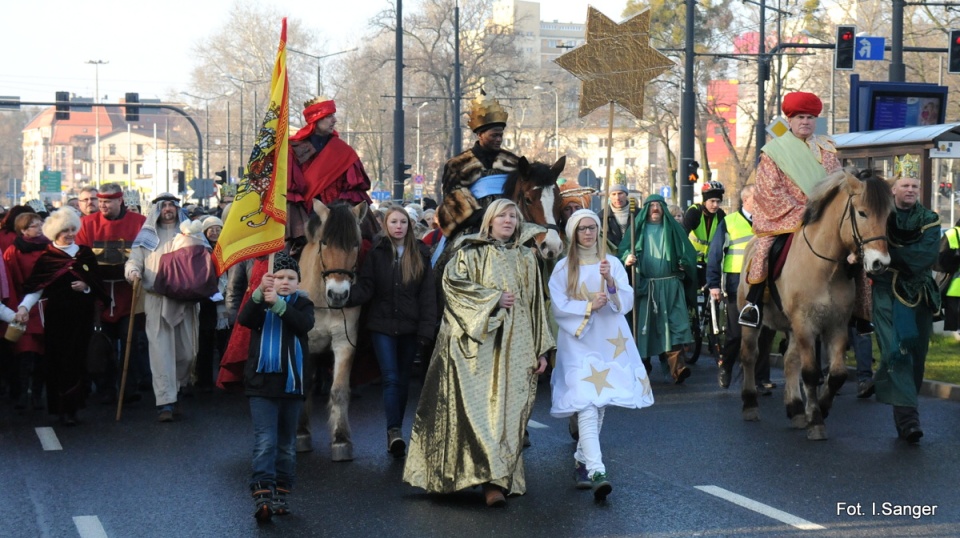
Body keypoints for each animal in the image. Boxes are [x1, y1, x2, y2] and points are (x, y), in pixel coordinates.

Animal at [298, 199, 366, 458]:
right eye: (325, 242)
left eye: (355, 243)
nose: (338, 295)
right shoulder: (304, 343)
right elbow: (302, 386)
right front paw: (301, 434)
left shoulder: (345, 342)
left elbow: (338, 390)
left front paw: (341, 439)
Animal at [744, 169, 892, 440]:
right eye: (862, 212)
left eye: (888, 215)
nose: (881, 263)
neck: (826, 268)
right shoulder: (806, 324)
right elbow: (811, 373)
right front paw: (816, 420)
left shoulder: (837, 325)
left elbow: (837, 375)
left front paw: (820, 408)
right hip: (754, 321)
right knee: (750, 355)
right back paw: (750, 404)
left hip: (791, 328)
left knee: (790, 361)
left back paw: (795, 409)